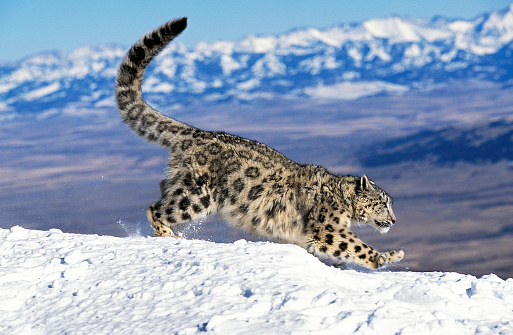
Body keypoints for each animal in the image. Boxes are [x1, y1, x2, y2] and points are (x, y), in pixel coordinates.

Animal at [114, 17, 402, 270]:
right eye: (383, 203)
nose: (394, 220)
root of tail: (196, 133)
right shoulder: (326, 229)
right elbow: (355, 245)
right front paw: (387, 257)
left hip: (185, 187)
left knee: (164, 189)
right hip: (196, 196)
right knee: (156, 208)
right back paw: (169, 235)